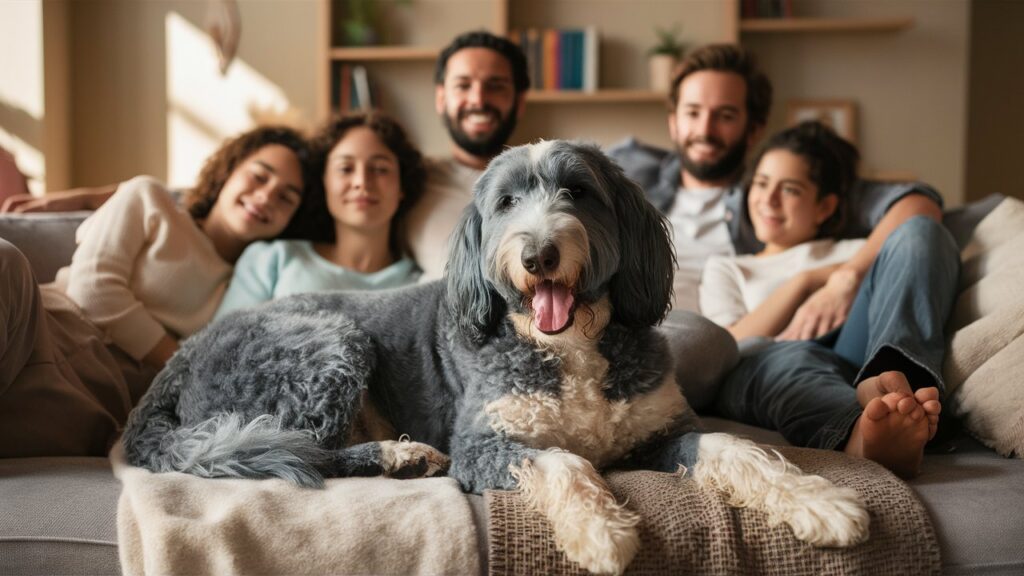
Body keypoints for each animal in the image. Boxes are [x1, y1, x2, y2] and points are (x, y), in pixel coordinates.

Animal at [123, 140, 868, 573]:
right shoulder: (485, 443)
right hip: (329, 344)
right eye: (507, 202)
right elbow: (564, 461)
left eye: (577, 191)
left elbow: (738, 449)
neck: (567, 345)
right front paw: (601, 530)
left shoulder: (664, 429)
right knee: (299, 450)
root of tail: (179, 361)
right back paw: (397, 456)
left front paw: (822, 503)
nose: (539, 253)